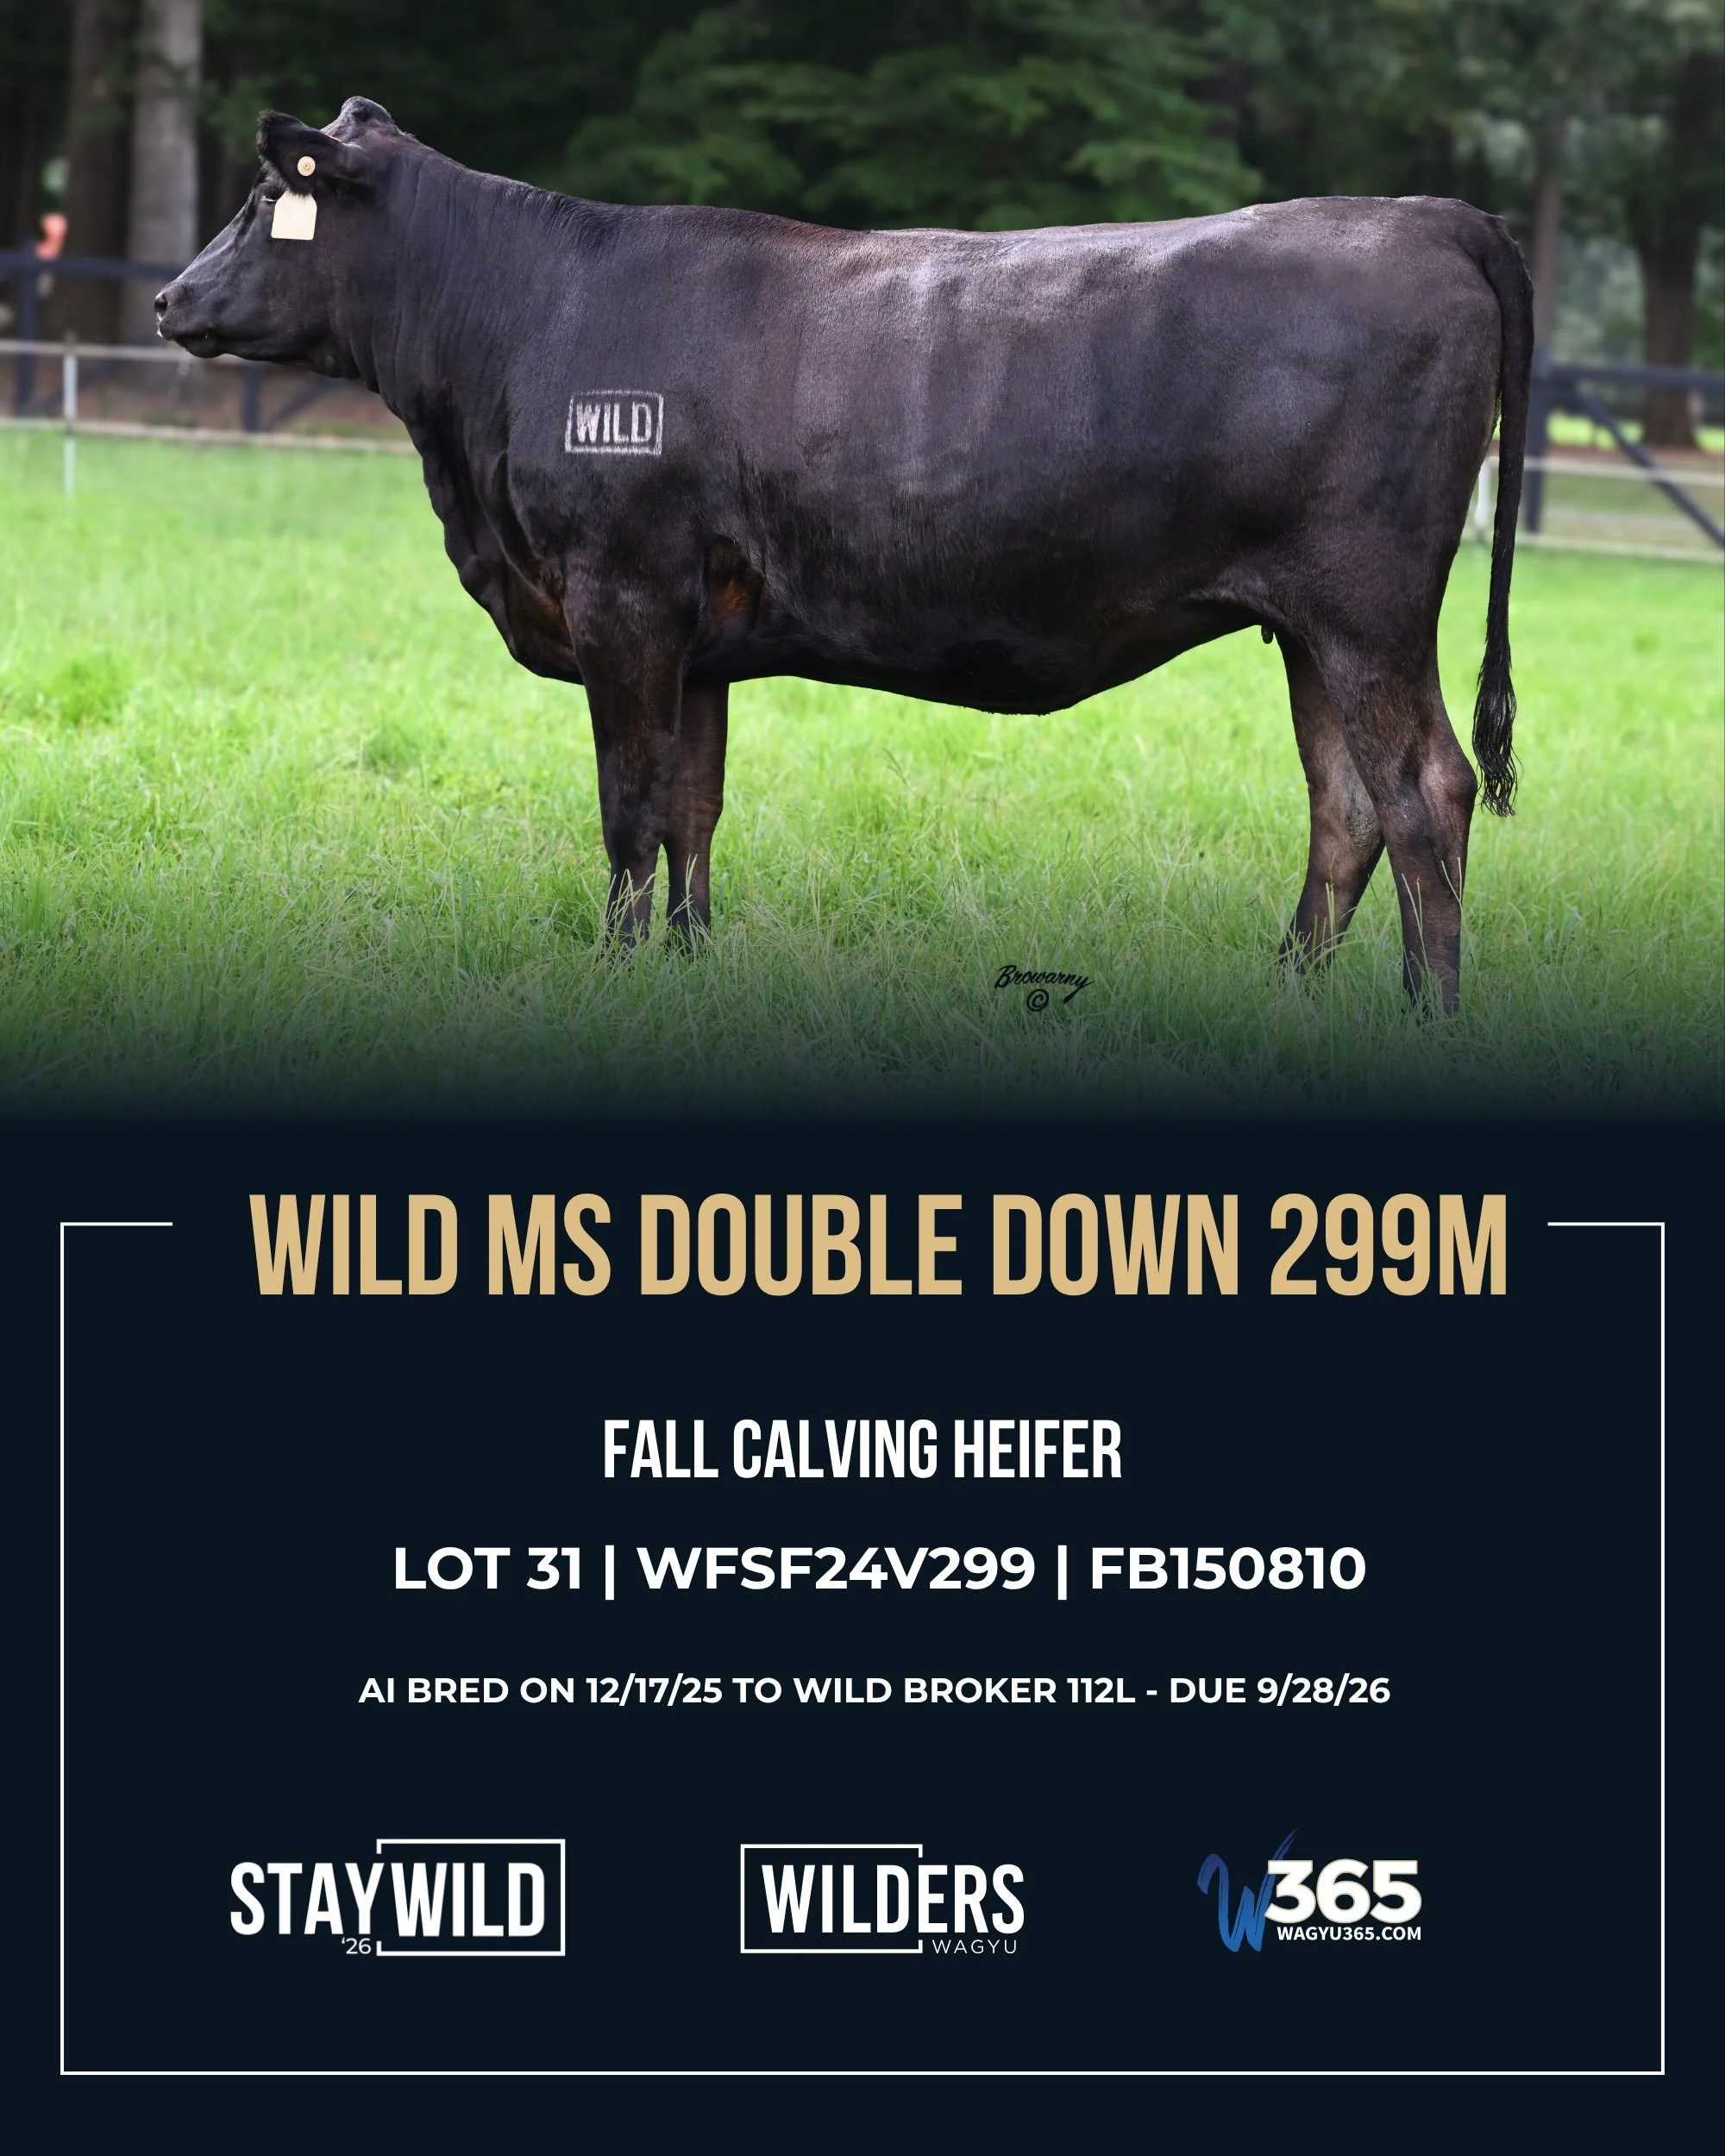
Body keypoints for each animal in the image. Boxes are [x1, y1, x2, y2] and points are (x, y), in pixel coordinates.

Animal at [157, 97, 1531, 1011]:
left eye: (262, 206)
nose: (169, 301)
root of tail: (1427, 213)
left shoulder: (620, 594)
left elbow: (627, 806)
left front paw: (615, 973)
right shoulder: (698, 635)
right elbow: (693, 806)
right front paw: (689, 966)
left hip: (1366, 609)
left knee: (1424, 790)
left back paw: (1429, 1012)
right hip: (1304, 623)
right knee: (1345, 804)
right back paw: (1290, 989)